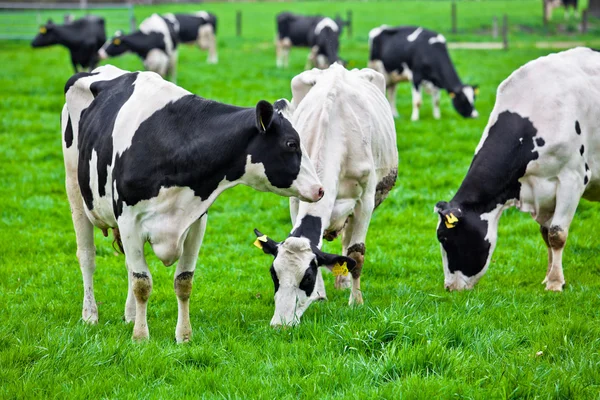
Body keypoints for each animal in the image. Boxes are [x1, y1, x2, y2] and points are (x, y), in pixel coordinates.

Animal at [61, 65, 324, 340]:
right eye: (291, 143)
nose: (320, 189)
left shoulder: (196, 221)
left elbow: (183, 281)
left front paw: (183, 336)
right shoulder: (129, 220)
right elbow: (142, 282)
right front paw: (141, 337)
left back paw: (130, 315)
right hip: (75, 190)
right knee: (87, 256)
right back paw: (90, 315)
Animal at [253, 65, 398, 328]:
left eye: (306, 277)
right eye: (273, 274)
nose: (280, 324)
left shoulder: (366, 200)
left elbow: (356, 253)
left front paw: (356, 301)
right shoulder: (297, 196)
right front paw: (320, 296)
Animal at [436, 49, 600, 294]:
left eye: (444, 238)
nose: (449, 287)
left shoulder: (573, 178)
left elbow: (557, 234)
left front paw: (555, 283)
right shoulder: (539, 190)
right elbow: (545, 234)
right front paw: (547, 277)